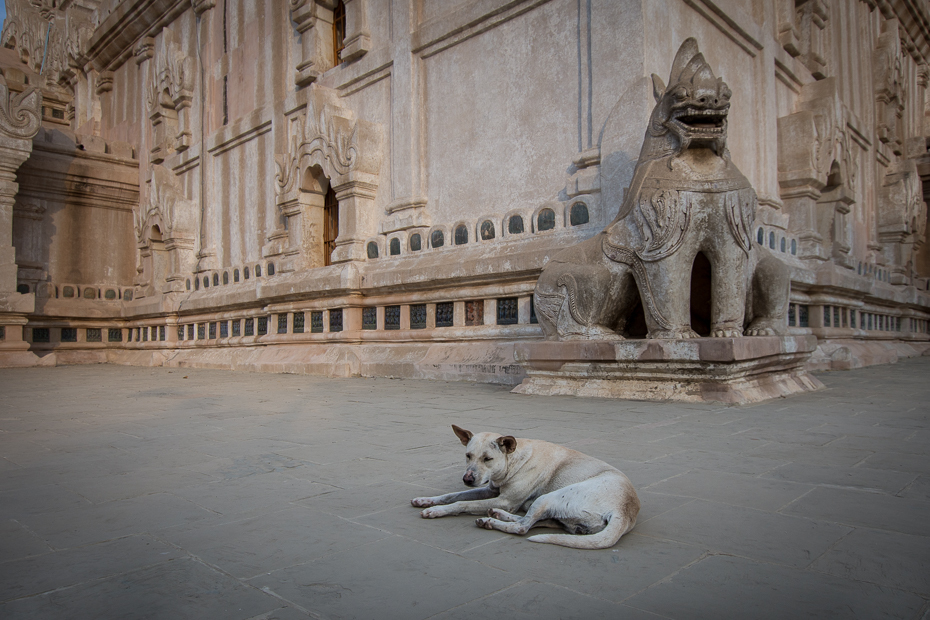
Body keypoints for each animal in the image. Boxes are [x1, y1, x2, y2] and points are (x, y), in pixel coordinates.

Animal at [412, 424, 640, 548]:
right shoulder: (490, 490)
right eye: (468, 456)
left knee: (523, 527)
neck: (513, 460)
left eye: (488, 459)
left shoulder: (505, 500)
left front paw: (436, 510)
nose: (467, 479)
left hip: (548, 497)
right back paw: (495, 515)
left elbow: (461, 504)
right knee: (534, 521)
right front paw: (427, 500)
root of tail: (625, 511)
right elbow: (453, 495)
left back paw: (492, 521)